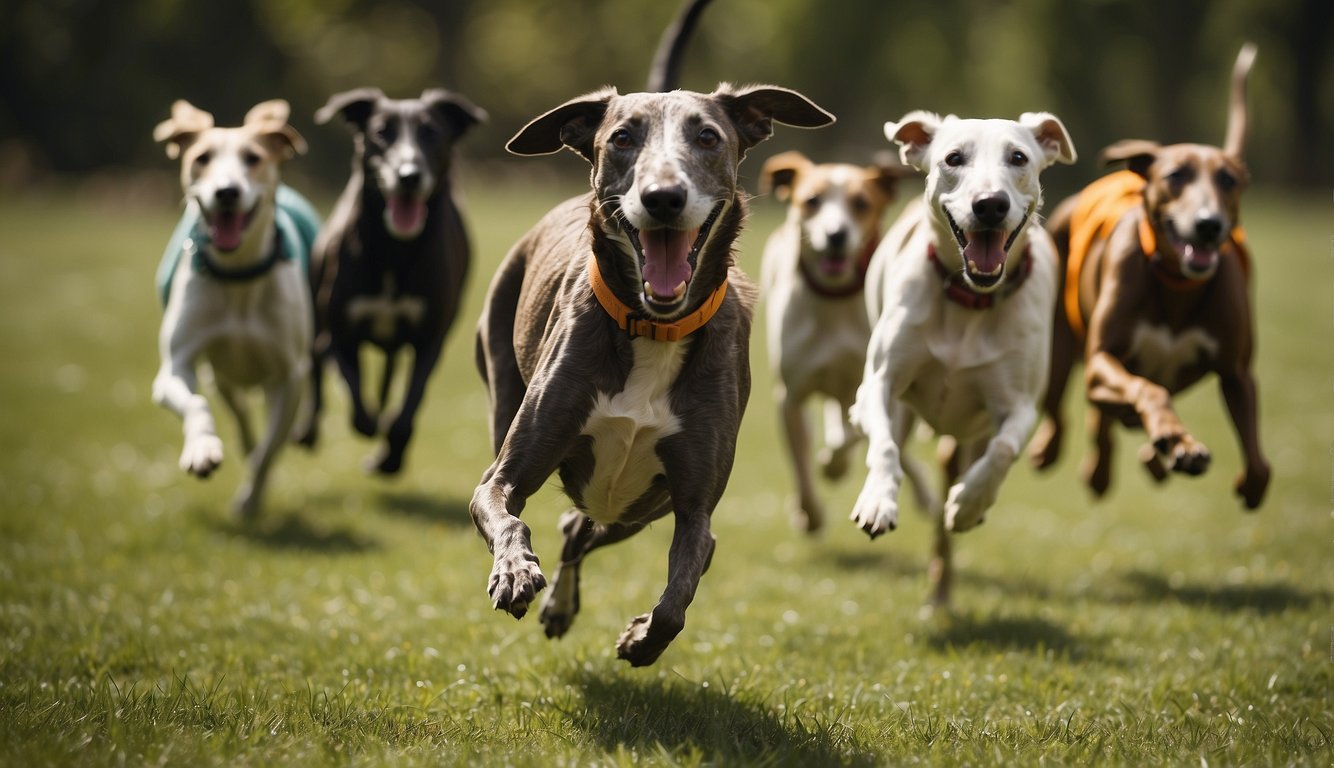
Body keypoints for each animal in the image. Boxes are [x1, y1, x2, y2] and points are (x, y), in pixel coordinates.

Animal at [152, 98, 318, 520]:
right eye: (201, 158)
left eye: (253, 158)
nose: (227, 191)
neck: (238, 275)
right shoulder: (176, 365)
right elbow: (195, 401)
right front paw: (202, 450)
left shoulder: (288, 376)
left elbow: (270, 450)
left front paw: (249, 498)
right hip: (220, 373)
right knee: (234, 404)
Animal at [300, 90, 488, 474]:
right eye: (381, 132)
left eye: (431, 132)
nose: (409, 175)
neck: (394, 249)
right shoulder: (338, 334)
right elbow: (354, 396)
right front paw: (371, 428)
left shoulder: (430, 339)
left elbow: (407, 409)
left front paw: (389, 457)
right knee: (315, 369)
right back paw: (309, 432)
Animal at [848, 110, 1077, 605]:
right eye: (953, 158)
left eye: (1019, 157)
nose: (990, 204)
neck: (970, 301)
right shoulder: (879, 383)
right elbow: (884, 443)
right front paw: (877, 501)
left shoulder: (1020, 404)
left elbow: (1004, 449)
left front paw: (969, 504)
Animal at [1029, 43, 1269, 509]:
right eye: (1175, 176)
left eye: (1228, 180)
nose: (1208, 224)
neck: (1177, 284)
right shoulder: (1103, 360)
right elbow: (1147, 391)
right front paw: (1176, 441)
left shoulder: (1236, 371)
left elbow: (1257, 457)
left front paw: (1239, 478)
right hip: (1058, 343)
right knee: (1065, 409)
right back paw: (1064, 451)